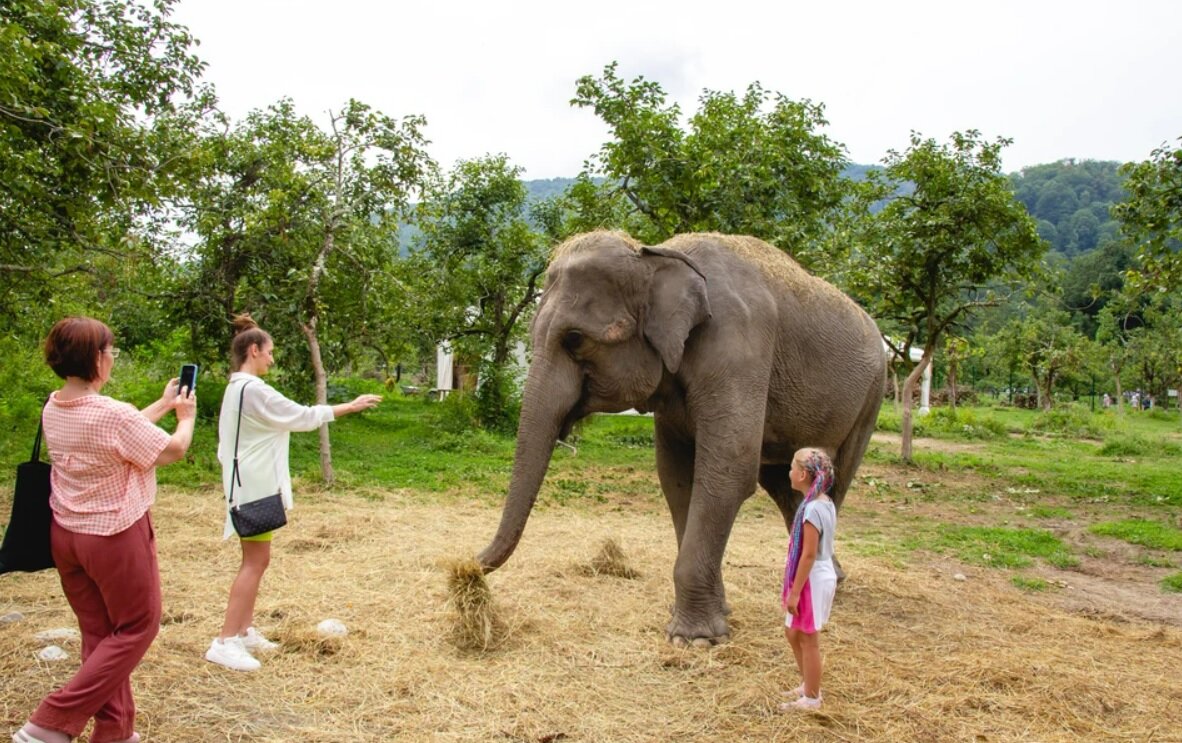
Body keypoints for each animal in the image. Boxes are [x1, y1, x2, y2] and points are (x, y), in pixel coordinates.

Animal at [475, 229, 884, 647]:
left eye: (574, 339)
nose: (466, 566)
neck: (655, 255)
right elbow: (675, 476)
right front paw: (716, 616)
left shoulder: (739, 347)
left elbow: (729, 470)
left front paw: (694, 640)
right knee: (785, 484)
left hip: (872, 394)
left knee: (834, 480)